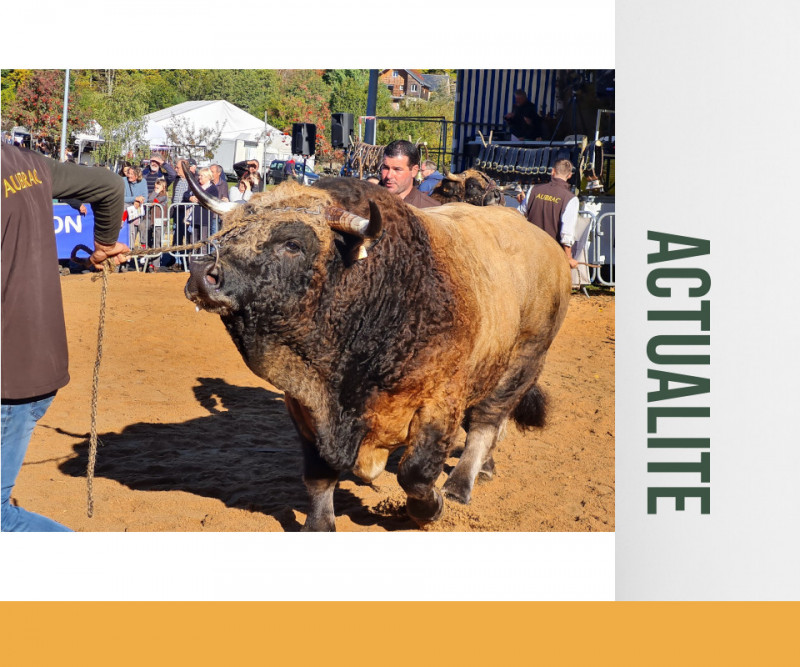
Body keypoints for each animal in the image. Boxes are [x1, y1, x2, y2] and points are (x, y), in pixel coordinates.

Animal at [183, 167, 568, 532]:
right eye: (228, 230)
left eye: (293, 244)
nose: (203, 272)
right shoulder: (305, 404)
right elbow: (319, 473)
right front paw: (318, 523)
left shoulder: (440, 401)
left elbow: (415, 473)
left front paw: (430, 508)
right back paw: (484, 468)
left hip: (521, 363)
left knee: (486, 423)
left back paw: (460, 484)